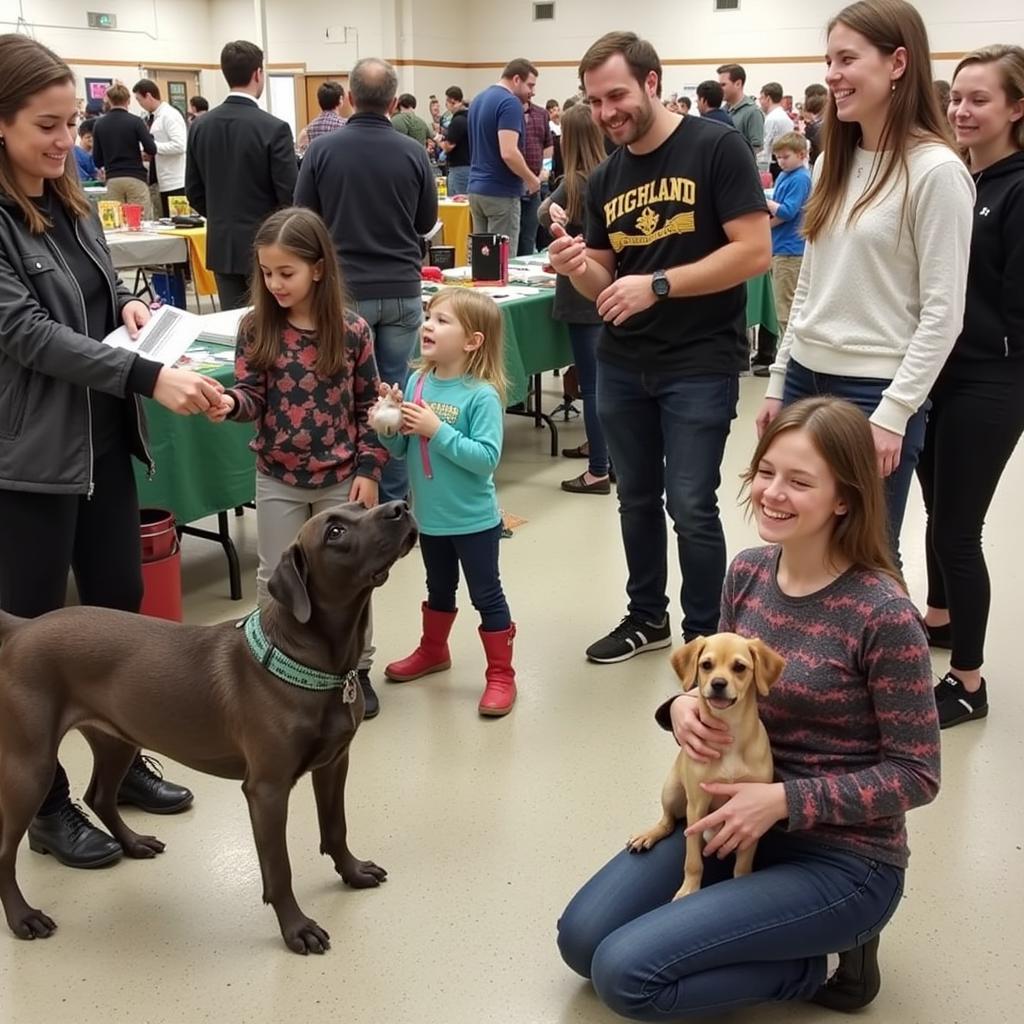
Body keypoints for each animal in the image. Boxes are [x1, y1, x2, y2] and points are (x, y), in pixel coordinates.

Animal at [1, 499, 415, 954]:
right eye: (335, 532)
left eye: (360, 504)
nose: (400, 507)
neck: (313, 662)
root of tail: (22, 627)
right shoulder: (267, 790)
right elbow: (279, 868)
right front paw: (296, 928)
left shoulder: (333, 764)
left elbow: (336, 828)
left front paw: (353, 872)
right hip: (30, 766)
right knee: (7, 850)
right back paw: (23, 917)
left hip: (117, 739)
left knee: (100, 796)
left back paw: (134, 842)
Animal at [622, 634, 782, 901]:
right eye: (706, 665)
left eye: (739, 667)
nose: (718, 683)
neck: (730, 733)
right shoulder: (697, 806)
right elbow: (693, 861)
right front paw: (689, 889)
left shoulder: (750, 817)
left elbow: (743, 863)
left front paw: (741, 881)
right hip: (672, 791)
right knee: (667, 822)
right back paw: (648, 835)